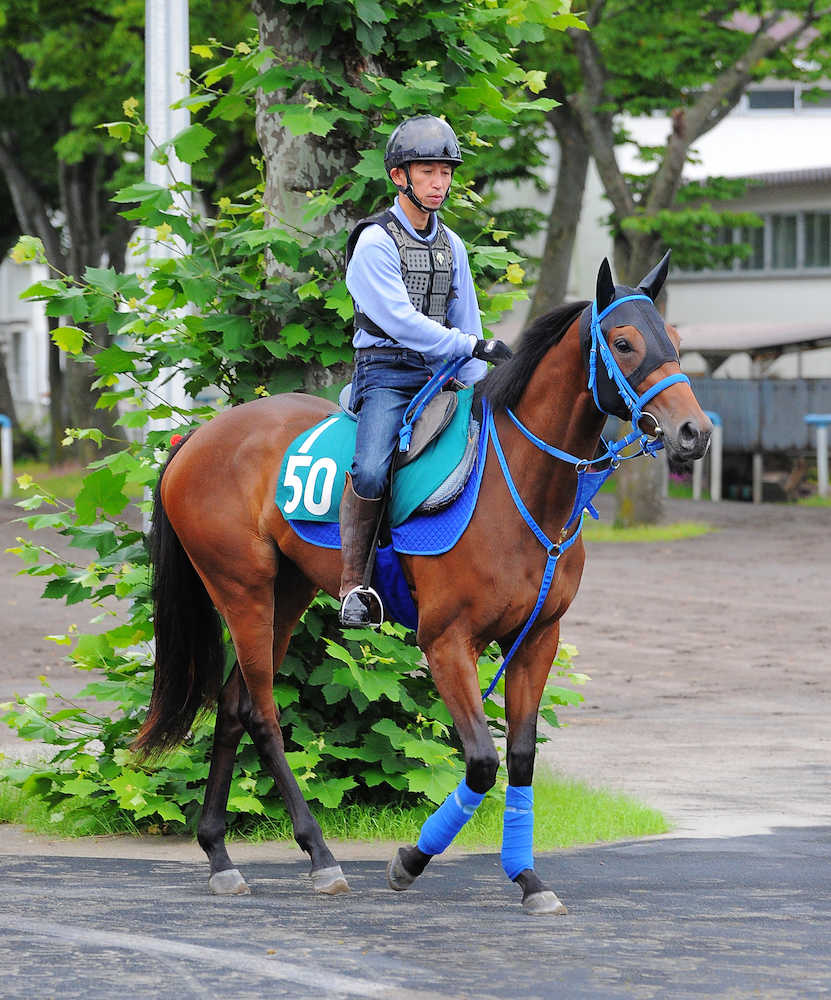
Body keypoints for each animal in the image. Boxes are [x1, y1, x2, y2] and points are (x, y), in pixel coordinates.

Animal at [135, 252, 708, 916]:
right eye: (623, 342)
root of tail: (195, 440)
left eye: (675, 341)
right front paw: (410, 860)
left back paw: (220, 855)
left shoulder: (536, 640)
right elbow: (482, 762)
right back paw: (320, 856)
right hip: (242, 588)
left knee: (232, 707)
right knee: (262, 714)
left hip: (286, 592)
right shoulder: (446, 642)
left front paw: (528, 877)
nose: (693, 431)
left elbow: (520, 758)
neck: (521, 488)